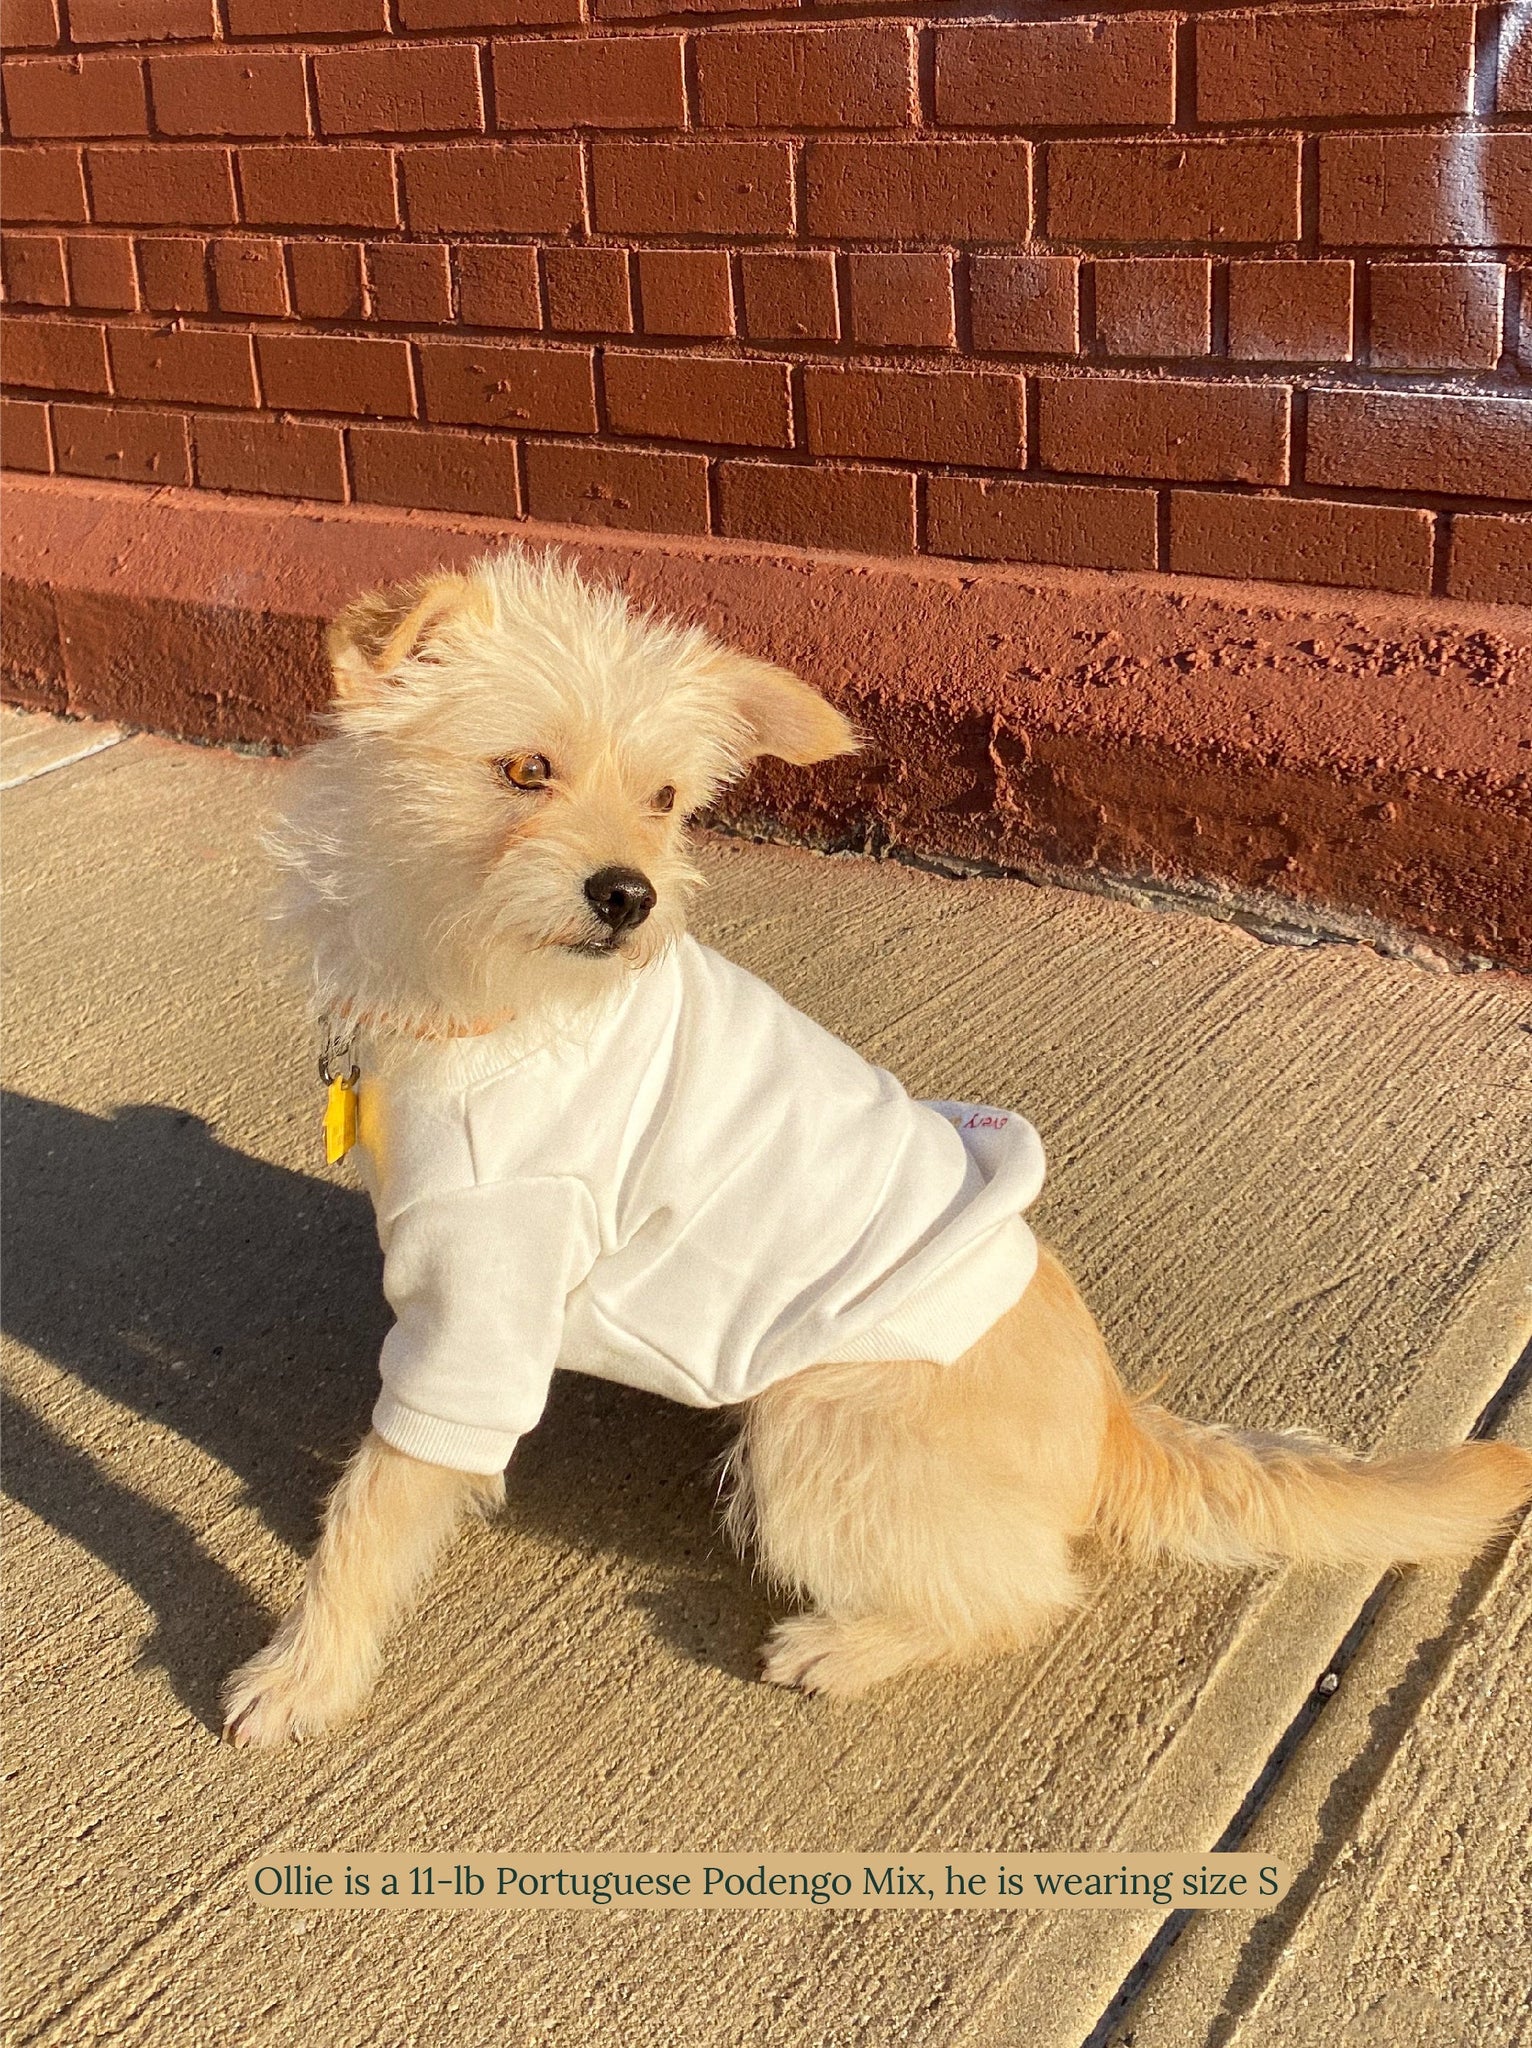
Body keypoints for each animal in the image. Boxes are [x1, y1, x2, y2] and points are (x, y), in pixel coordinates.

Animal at [221, 552, 1532, 1753]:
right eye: (523, 769)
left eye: (664, 796)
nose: (630, 895)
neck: (478, 996)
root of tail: (1108, 1415)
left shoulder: (486, 1306)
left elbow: (379, 1498)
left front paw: (306, 1671)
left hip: (811, 1423)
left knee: (1026, 1590)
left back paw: (851, 1642)